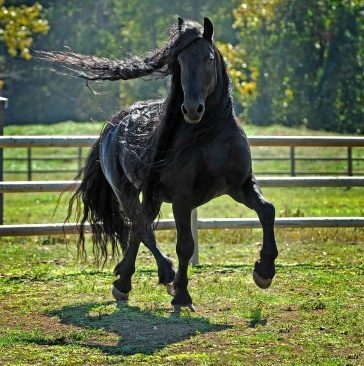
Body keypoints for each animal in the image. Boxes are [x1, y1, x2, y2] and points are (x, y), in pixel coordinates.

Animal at [38, 16, 278, 308]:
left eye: (209, 58)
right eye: (180, 62)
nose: (192, 109)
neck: (210, 136)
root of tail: (114, 125)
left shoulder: (241, 185)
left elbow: (267, 210)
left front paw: (264, 271)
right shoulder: (182, 198)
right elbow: (185, 245)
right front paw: (183, 294)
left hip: (151, 196)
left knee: (138, 228)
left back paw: (129, 280)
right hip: (126, 192)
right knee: (141, 227)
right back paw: (155, 276)